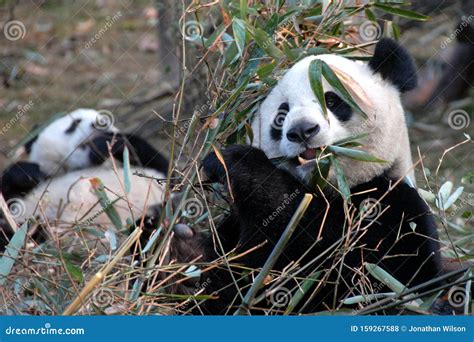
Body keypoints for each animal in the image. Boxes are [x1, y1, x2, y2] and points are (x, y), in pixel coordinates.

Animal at [201, 38, 444, 314]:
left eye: (332, 100)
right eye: (281, 116)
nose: (302, 131)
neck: (332, 189)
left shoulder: (395, 209)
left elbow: (366, 277)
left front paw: (239, 164)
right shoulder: (231, 231)